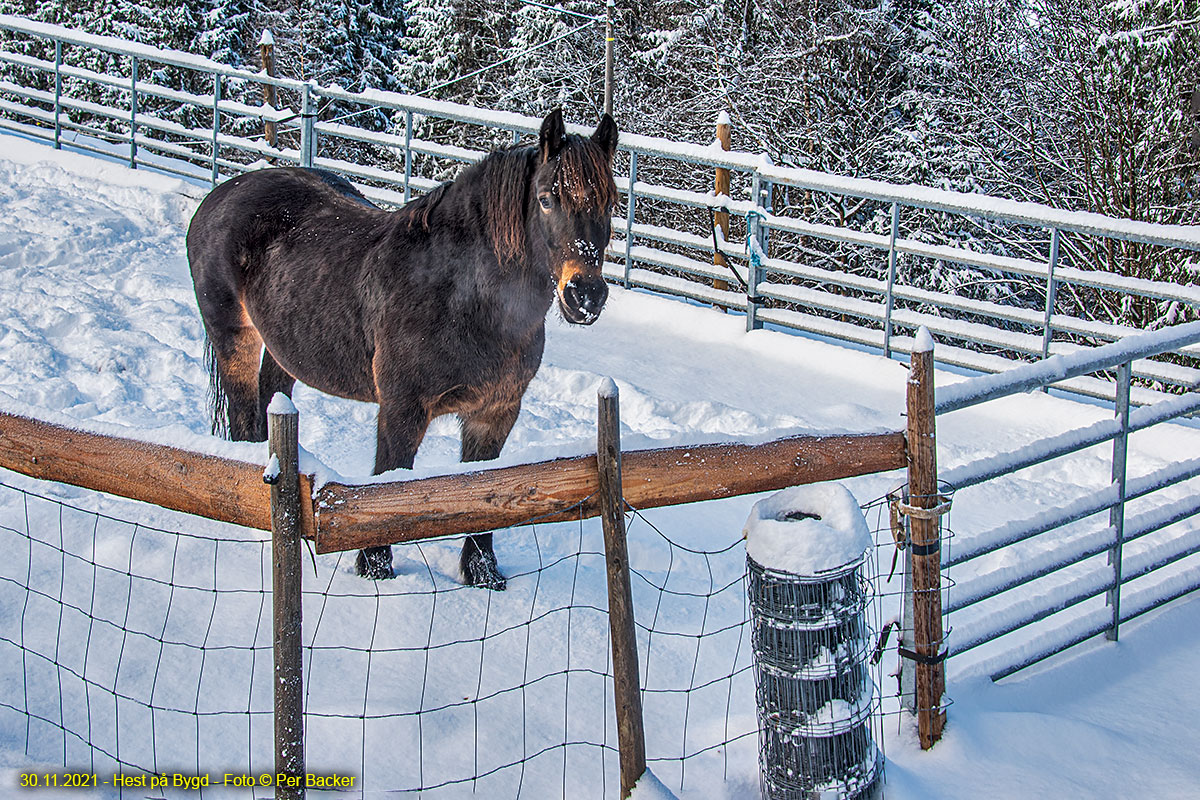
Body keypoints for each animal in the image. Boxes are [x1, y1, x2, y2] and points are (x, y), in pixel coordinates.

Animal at [189, 110, 619, 587]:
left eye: (610, 204)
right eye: (546, 199)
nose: (585, 294)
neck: (460, 294)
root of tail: (224, 192)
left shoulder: (495, 412)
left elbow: (486, 489)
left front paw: (482, 574)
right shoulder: (402, 408)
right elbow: (390, 481)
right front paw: (375, 567)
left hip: (284, 350)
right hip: (234, 338)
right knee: (243, 418)